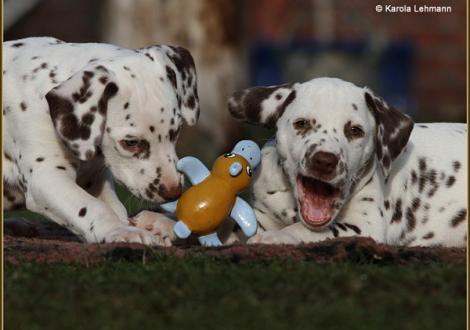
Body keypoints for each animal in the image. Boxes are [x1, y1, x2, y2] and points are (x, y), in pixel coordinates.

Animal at [2, 37, 200, 245]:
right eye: (130, 143)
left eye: (176, 131)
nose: (173, 192)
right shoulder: (47, 177)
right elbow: (90, 207)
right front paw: (120, 230)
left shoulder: (95, 177)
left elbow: (116, 208)